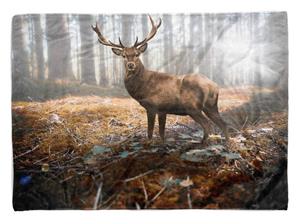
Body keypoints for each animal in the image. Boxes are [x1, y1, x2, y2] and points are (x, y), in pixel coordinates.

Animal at [92, 14, 229, 144]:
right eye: (124, 55)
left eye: (137, 54)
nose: (131, 65)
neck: (142, 88)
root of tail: (214, 86)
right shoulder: (163, 110)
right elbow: (162, 133)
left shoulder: (153, 106)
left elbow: (150, 132)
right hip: (211, 106)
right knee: (222, 123)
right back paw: (227, 142)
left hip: (193, 107)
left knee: (207, 125)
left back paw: (203, 143)